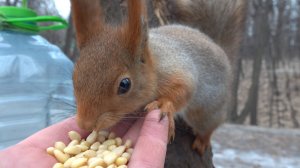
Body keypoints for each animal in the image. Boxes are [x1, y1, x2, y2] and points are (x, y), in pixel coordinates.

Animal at [70, 0, 246, 155]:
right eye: (74, 75)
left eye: (125, 84)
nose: (85, 124)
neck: (155, 64)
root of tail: (221, 51)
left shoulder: (180, 71)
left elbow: (184, 90)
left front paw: (163, 104)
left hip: (207, 110)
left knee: (210, 125)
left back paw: (202, 141)